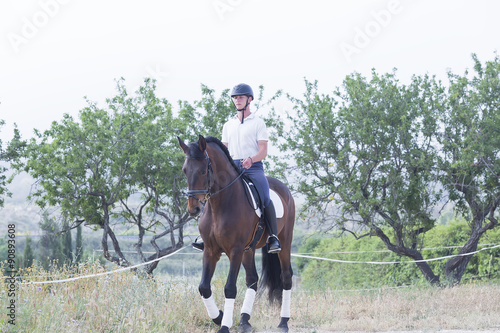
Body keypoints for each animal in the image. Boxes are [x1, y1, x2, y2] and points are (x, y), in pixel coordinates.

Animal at [178, 135, 294, 332]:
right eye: (185, 171)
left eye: (202, 171)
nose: (194, 209)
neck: (221, 204)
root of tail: (283, 189)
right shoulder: (210, 250)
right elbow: (204, 287)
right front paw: (219, 317)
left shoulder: (235, 250)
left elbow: (230, 288)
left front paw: (225, 326)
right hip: (249, 250)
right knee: (252, 279)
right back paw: (244, 321)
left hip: (284, 243)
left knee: (286, 277)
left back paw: (283, 322)